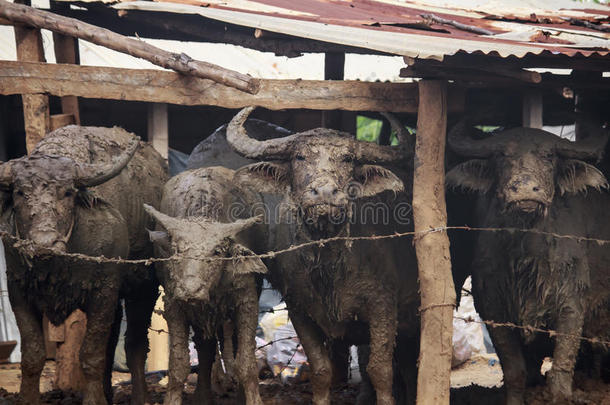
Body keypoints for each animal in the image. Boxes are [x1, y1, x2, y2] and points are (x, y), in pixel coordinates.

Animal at [0, 126, 166, 404]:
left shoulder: (104, 290)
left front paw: (93, 400)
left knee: (134, 343)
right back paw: (107, 393)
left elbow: (91, 354)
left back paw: (140, 396)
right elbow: (33, 355)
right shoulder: (18, 290)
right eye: (20, 192)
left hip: (144, 287)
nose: (44, 244)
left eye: (67, 193)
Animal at [144, 164, 268, 404]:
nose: (190, 291)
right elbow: (178, 365)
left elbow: (246, 363)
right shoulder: (175, 305)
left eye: (217, 251)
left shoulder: (247, 300)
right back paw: (203, 395)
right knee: (205, 349)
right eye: (177, 250)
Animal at [224, 105, 418, 402]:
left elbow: (381, 370)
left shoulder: (383, 304)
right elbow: (321, 369)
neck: (330, 266)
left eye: (348, 158)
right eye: (299, 156)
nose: (325, 193)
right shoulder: (299, 309)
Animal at [444, 121, 604, 402]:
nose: (526, 189)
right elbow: (515, 371)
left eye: (548, 156)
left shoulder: (572, 305)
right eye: (501, 156)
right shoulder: (493, 310)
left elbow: (561, 374)